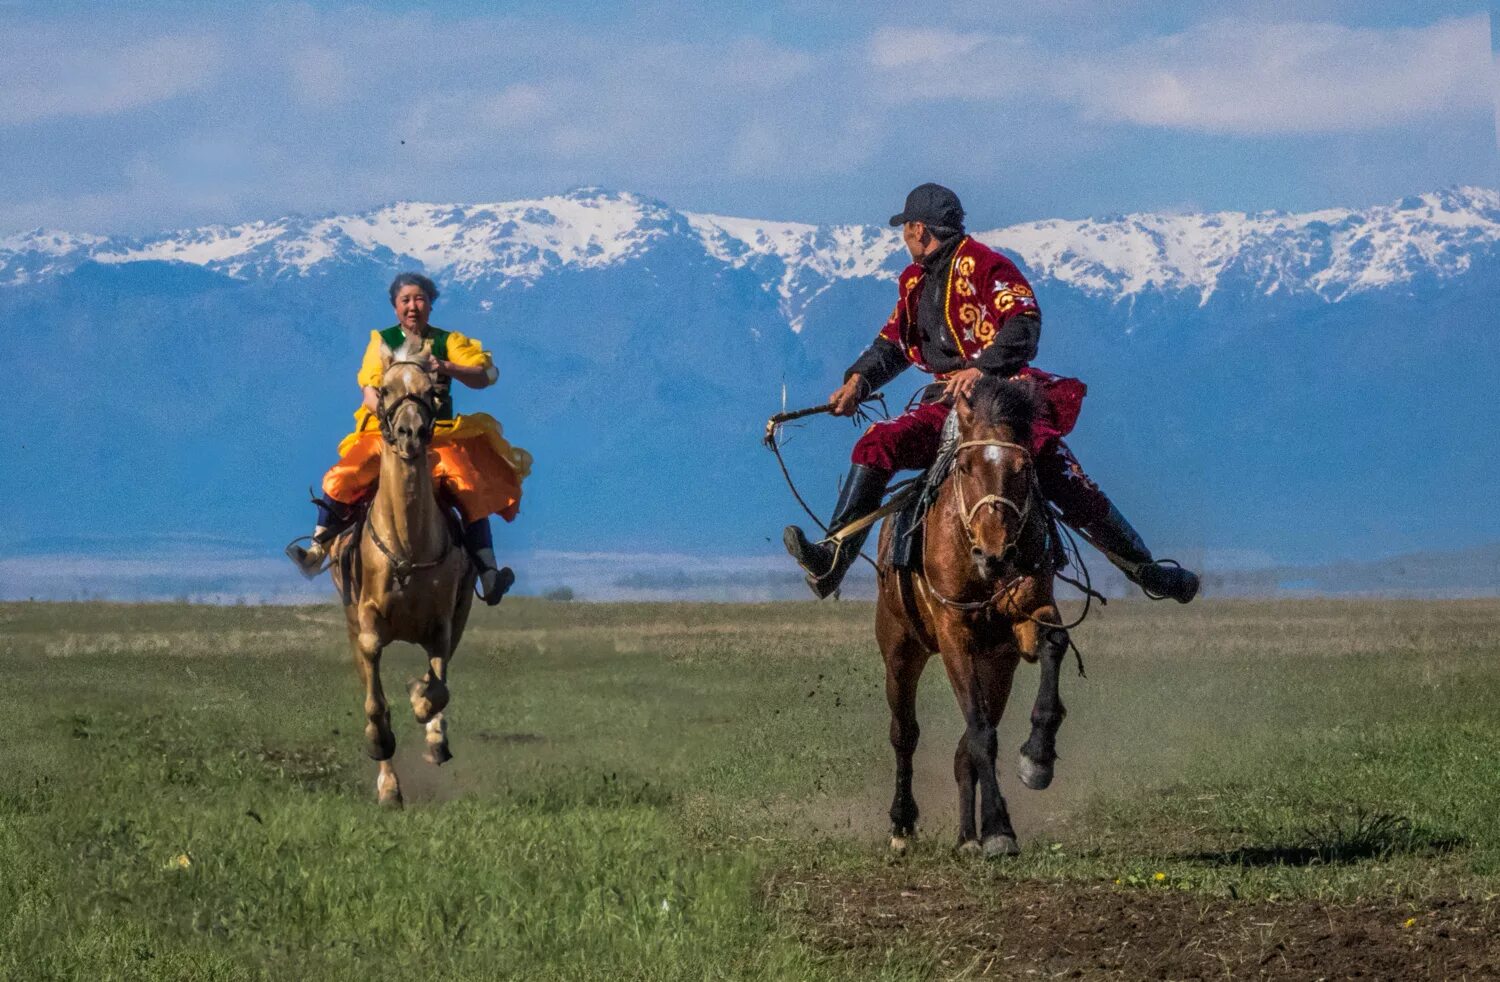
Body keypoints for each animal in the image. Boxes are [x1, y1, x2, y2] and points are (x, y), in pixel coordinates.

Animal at [333, 359, 474, 809]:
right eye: (385, 389)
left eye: (432, 390)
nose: (410, 432)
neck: (408, 544)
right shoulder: (366, 620)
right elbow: (376, 699)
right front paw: (381, 745)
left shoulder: (443, 624)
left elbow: (437, 691)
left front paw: (427, 719)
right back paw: (390, 787)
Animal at [876, 377, 1074, 863]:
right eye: (964, 467)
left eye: (1024, 466)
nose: (995, 555)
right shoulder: (954, 636)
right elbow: (981, 733)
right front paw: (1000, 829)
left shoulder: (1023, 619)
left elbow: (1053, 645)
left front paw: (1038, 758)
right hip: (900, 648)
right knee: (904, 733)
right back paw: (902, 825)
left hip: (995, 662)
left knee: (963, 750)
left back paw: (967, 835)